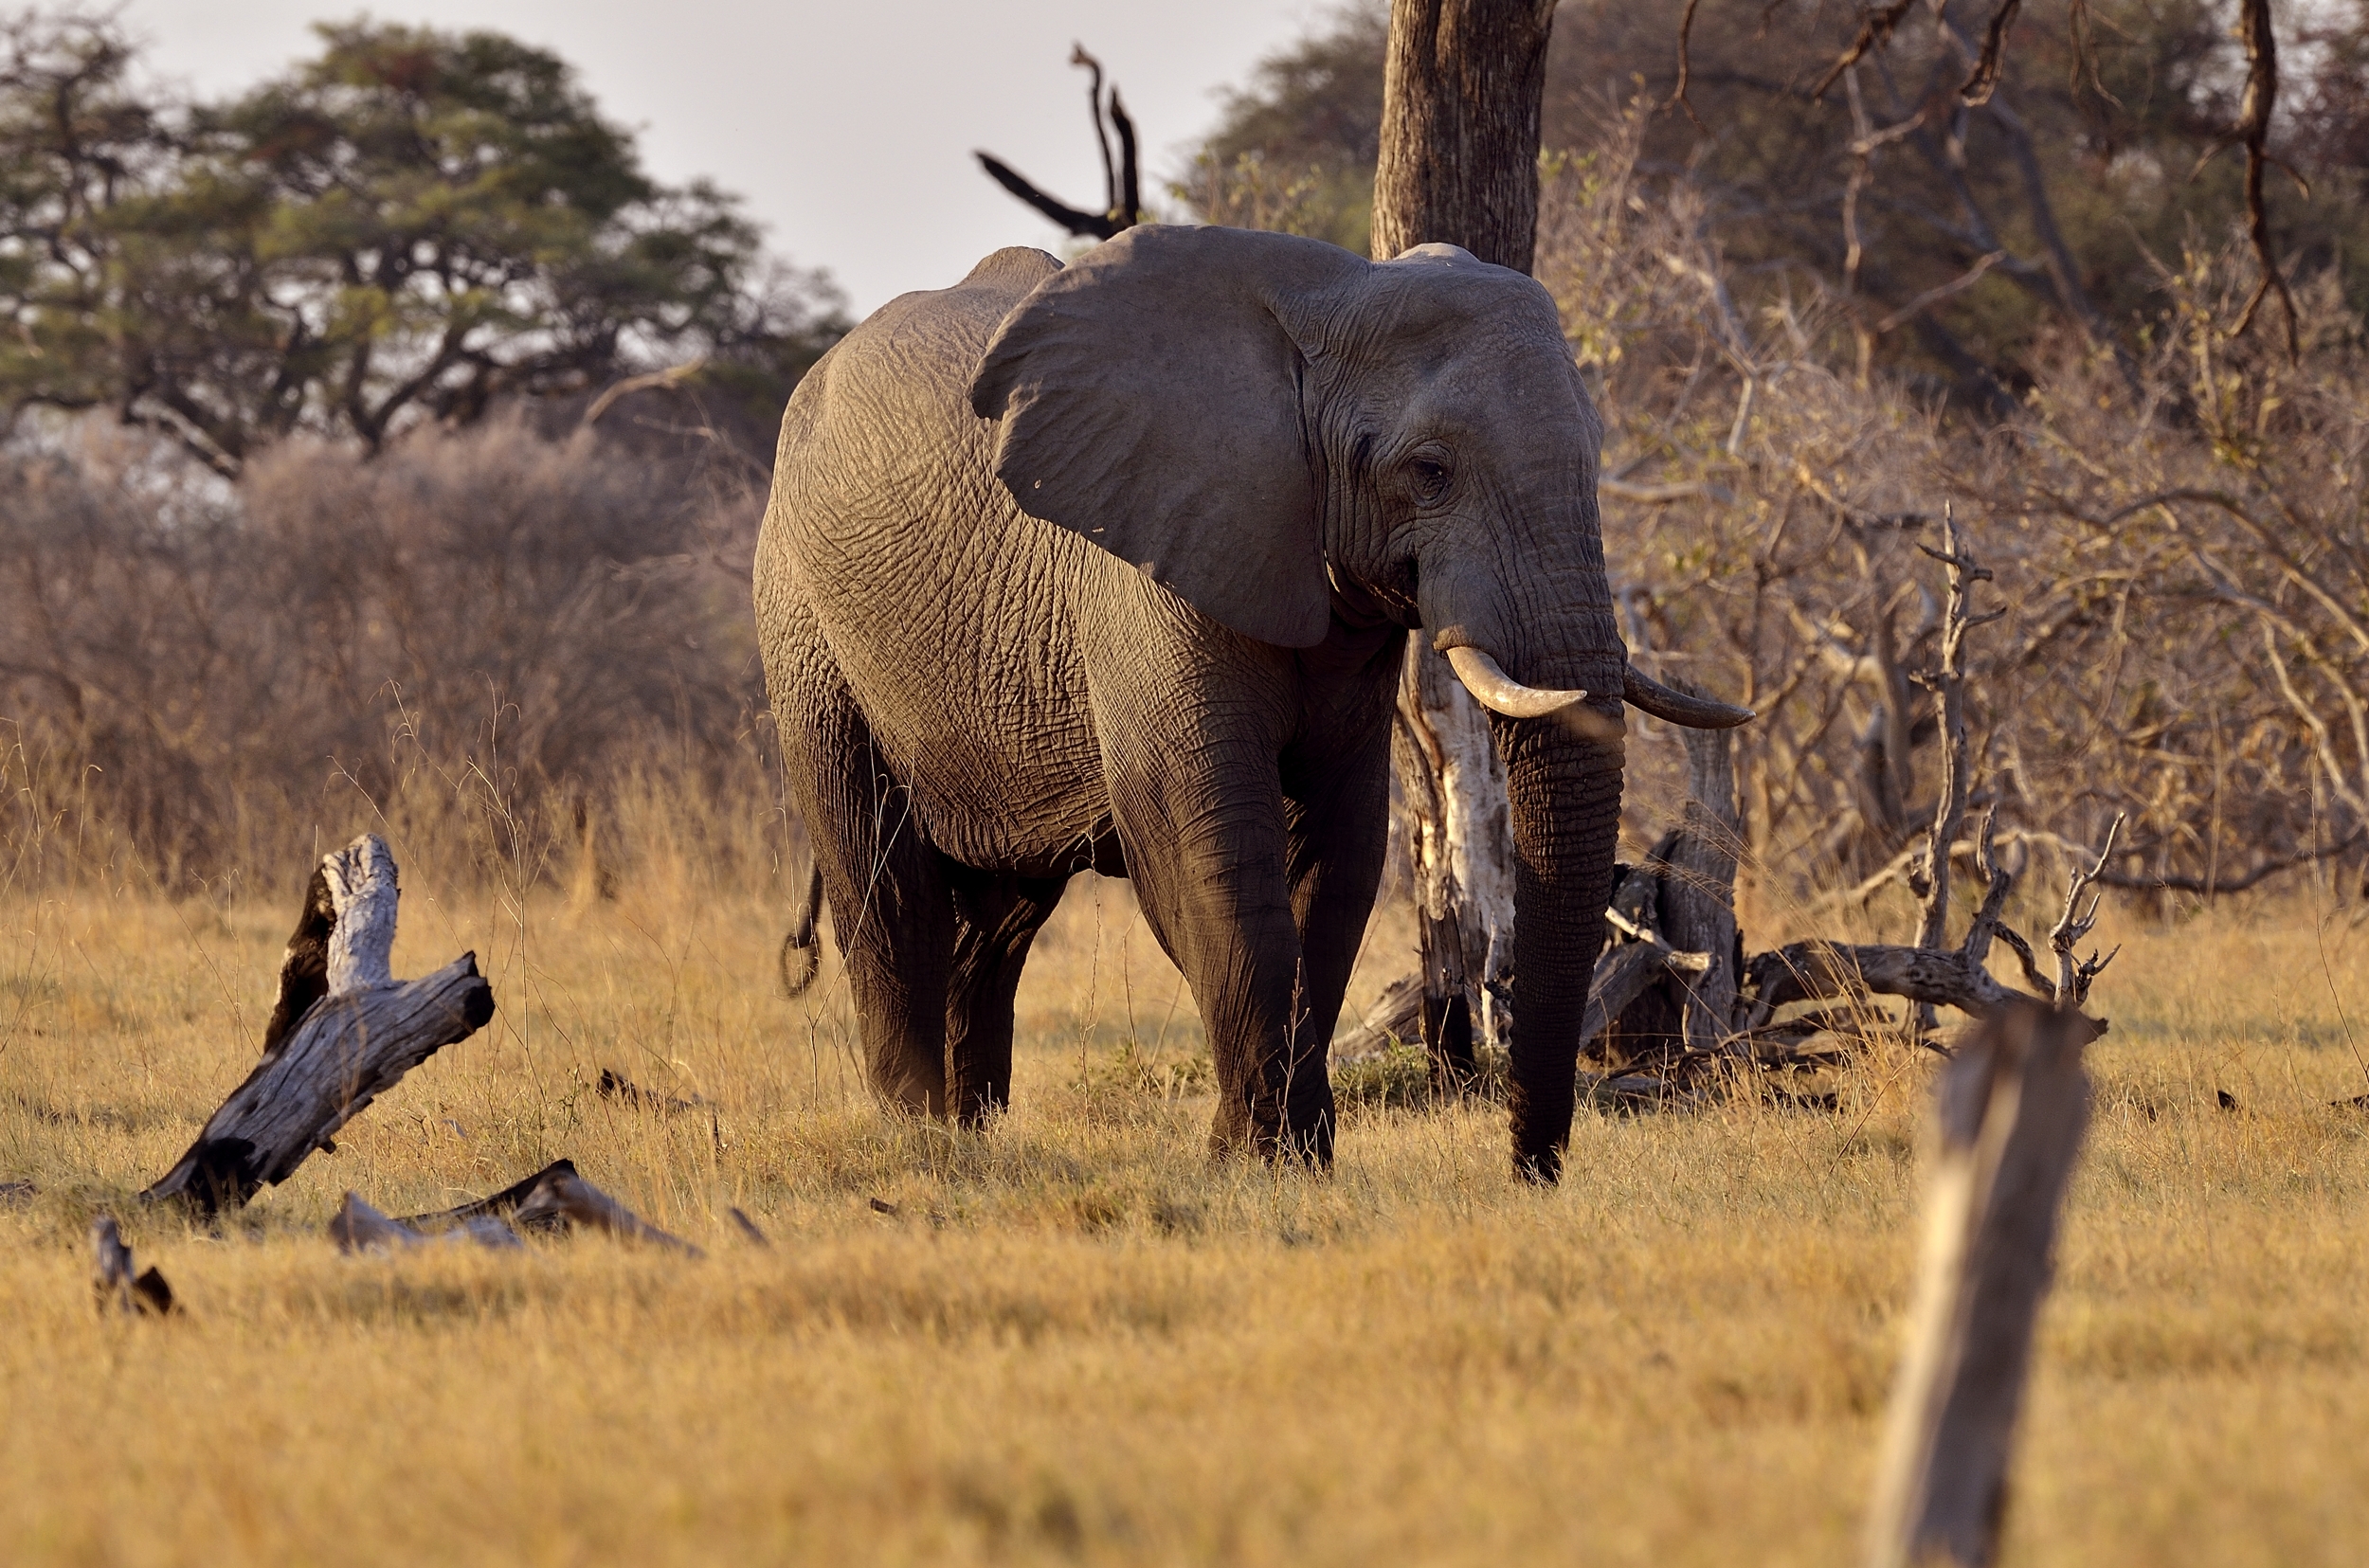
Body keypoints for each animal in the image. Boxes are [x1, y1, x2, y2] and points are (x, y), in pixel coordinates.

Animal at [755, 224, 1747, 1181]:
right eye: (1429, 471)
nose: (1529, 1173)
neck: (1330, 297)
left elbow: (1337, 862)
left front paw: (1298, 1156)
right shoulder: (1145, 577)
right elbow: (1209, 852)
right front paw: (1252, 1158)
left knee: (998, 920)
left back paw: (970, 1135)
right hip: (803, 626)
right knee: (887, 891)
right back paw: (917, 1138)